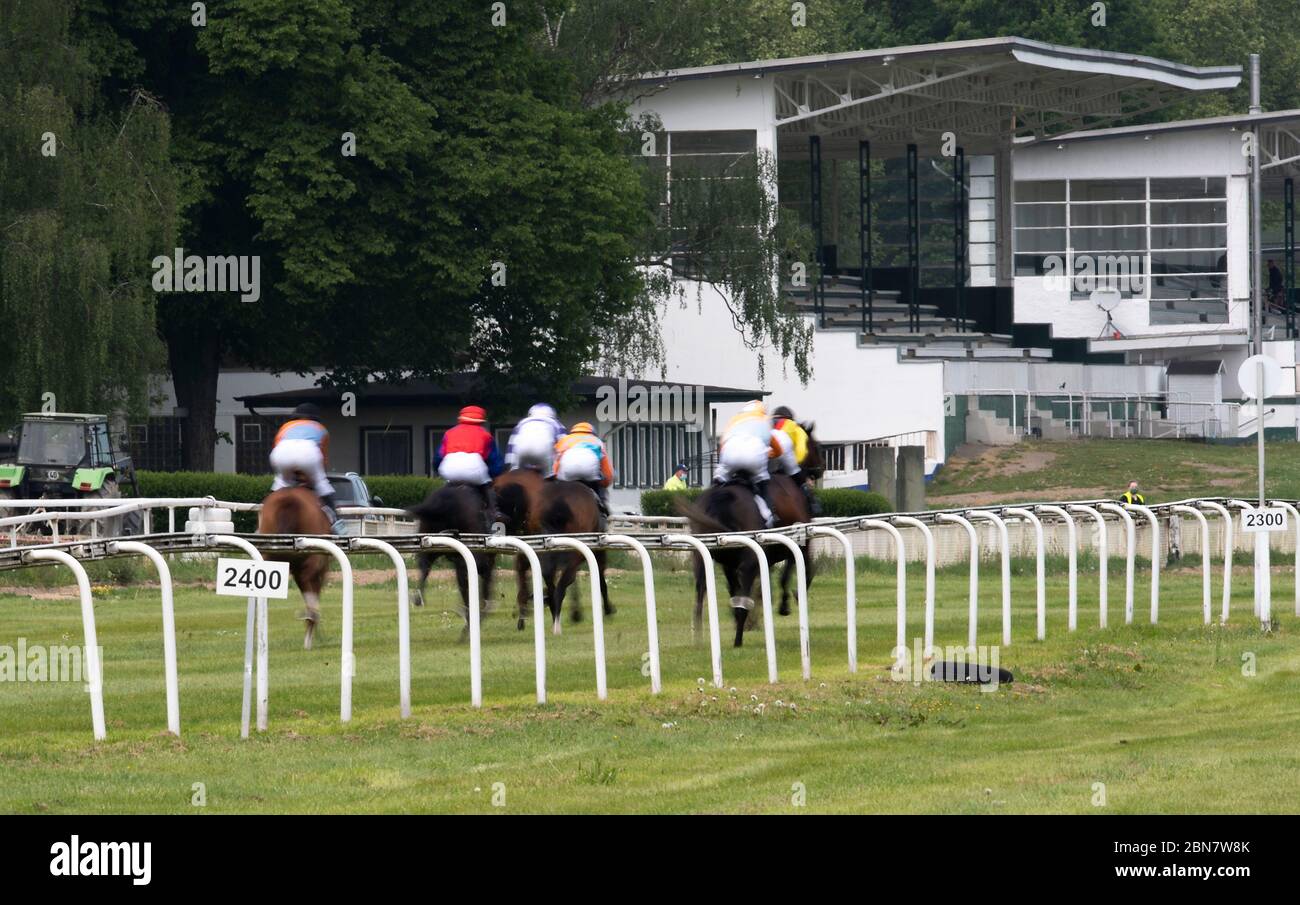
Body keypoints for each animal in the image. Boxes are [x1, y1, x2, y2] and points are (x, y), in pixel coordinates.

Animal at [681, 421, 821, 647]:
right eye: (816, 446)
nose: (821, 468)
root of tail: (722, 498)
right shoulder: (799, 541)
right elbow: (797, 573)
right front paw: (789, 601)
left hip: (703, 557)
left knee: (703, 593)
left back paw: (701, 638)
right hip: (748, 562)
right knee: (742, 597)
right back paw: (738, 638)